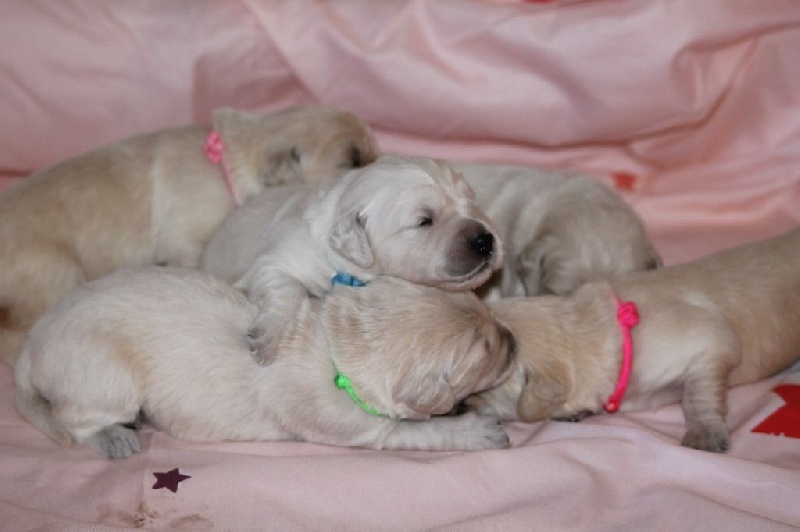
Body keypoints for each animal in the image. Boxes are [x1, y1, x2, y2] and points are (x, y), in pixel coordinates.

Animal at [15, 268, 516, 460]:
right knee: (75, 419)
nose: (513, 341)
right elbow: (417, 431)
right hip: (105, 379)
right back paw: (116, 438)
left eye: (480, 303)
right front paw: (477, 431)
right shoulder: (357, 424)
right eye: (485, 350)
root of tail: (30, 345)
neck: (335, 343)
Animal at [203, 154, 504, 362]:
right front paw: (267, 338)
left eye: (471, 201)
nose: (485, 241)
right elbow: (289, 290)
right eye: (424, 221)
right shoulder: (274, 263)